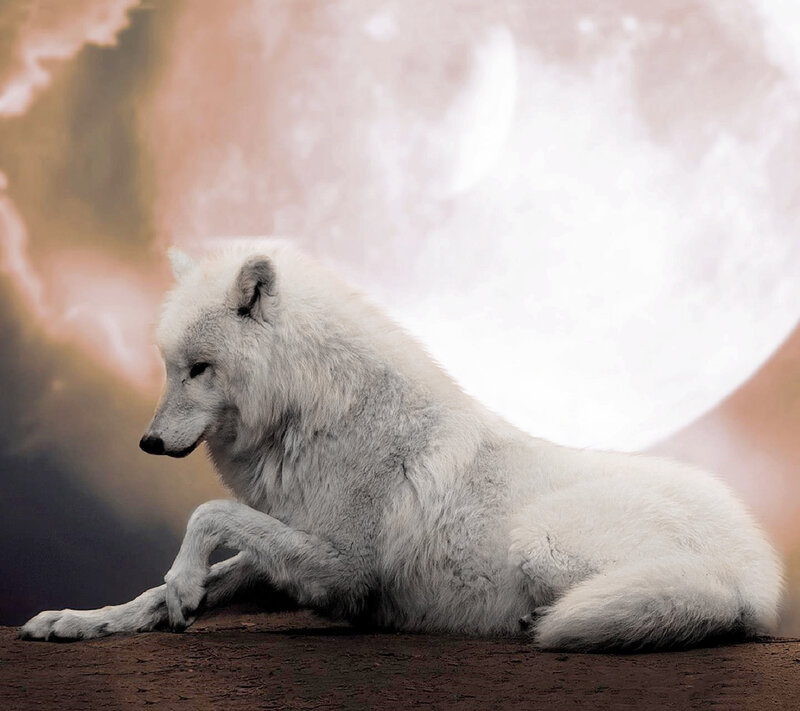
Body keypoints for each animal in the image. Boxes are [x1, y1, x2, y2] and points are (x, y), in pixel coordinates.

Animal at [20, 240, 783, 650]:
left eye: (199, 369)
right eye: (167, 365)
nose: (147, 442)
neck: (314, 412)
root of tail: (757, 567)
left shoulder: (344, 570)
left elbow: (207, 515)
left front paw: (180, 581)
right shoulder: (293, 549)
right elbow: (166, 587)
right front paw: (83, 620)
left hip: (540, 540)